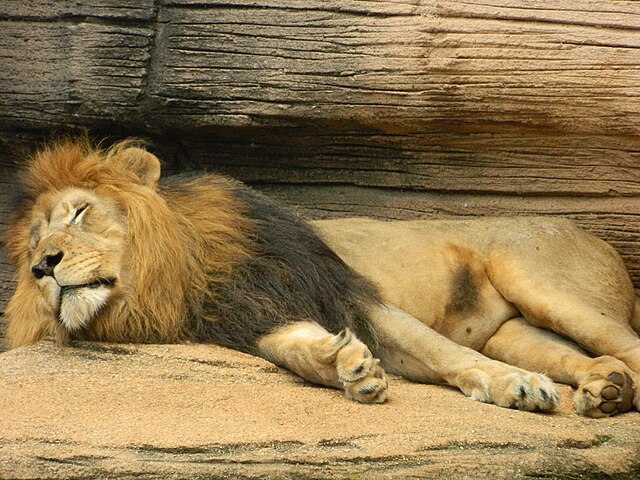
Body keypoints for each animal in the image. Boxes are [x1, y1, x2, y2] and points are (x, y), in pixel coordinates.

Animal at [5, 139, 640, 416]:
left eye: (79, 213)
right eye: (33, 243)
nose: (42, 267)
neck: (181, 277)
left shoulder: (343, 291)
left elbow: (444, 351)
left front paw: (517, 388)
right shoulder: (253, 315)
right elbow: (295, 351)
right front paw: (347, 367)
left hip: (542, 283)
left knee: (626, 343)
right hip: (518, 330)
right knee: (595, 357)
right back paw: (606, 390)